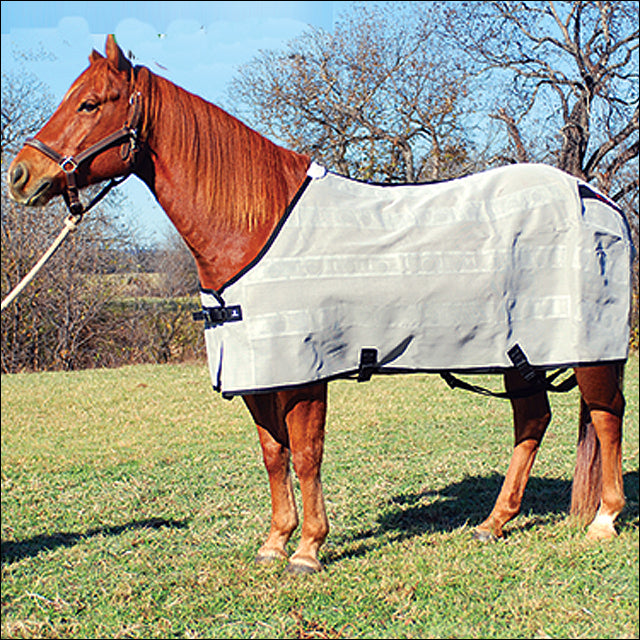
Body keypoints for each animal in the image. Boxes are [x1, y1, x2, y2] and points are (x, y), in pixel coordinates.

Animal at [7, 36, 628, 574]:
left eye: (90, 103)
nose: (20, 175)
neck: (253, 226)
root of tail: (597, 198)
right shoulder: (257, 373)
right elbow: (273, 454)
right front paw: (274, 542)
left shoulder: (305, 373)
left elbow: (306, 455)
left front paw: (308, 549)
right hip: (519, 354)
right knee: (533, 420)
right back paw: (494, 523)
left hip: (589, 351)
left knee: (606, 416)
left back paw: (604, 520)